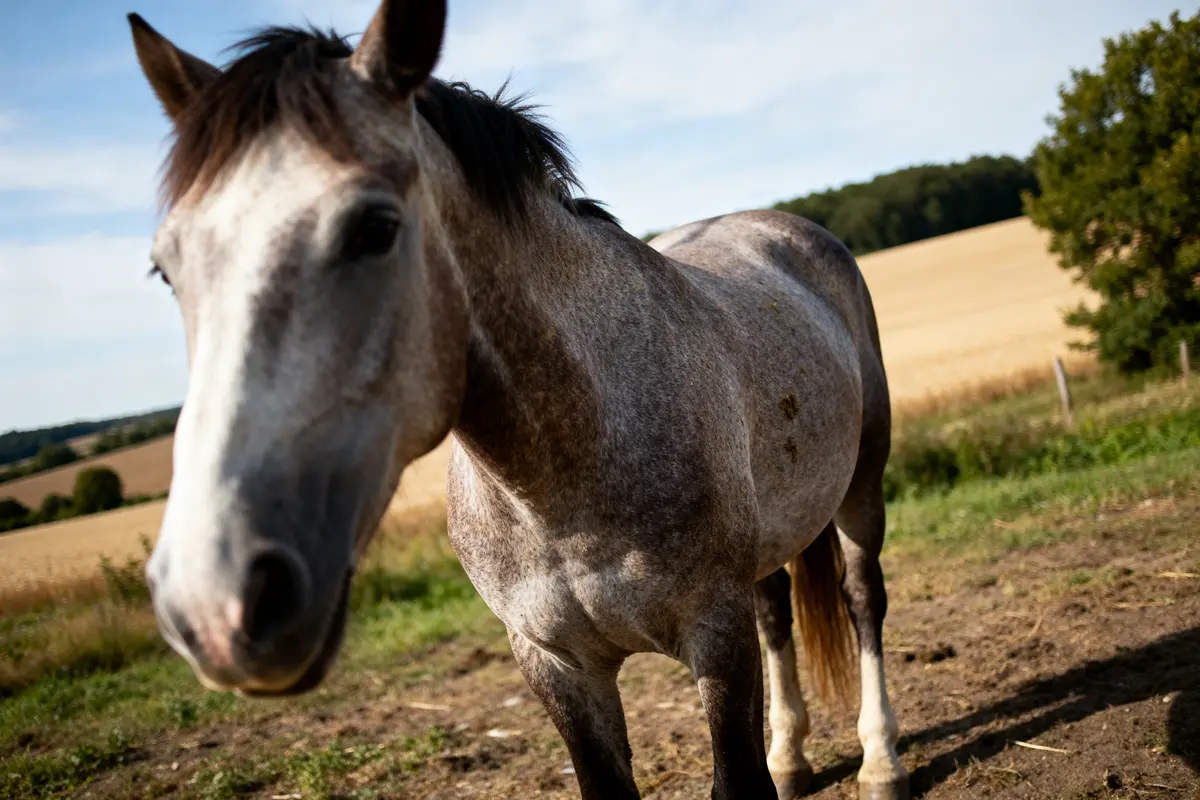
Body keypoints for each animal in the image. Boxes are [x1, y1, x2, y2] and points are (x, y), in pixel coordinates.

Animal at [127, 2, 908, 797]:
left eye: (374, 228)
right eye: (165, 267)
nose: (214, 602)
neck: (568, 468)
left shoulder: (715, 639)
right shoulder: (554, 665)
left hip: (860, 486)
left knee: (862, 598)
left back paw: (880, 760)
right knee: (777, 612)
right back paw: (792, 755)